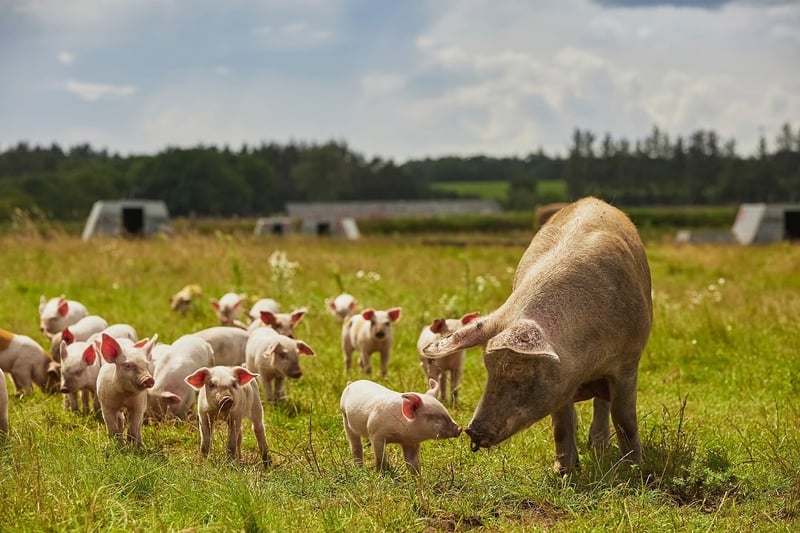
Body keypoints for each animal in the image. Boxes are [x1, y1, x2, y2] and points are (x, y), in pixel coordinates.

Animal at [422, 197, 652, 472]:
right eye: (488, 368)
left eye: (518, 368)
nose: (473, 431)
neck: (584, 360)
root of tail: (592, 200)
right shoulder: (561, 381)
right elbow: (561, 423)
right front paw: (564, 472)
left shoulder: (628, 359)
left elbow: (624, 416)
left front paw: (635, 468)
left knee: (602, 405)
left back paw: (599, 446)